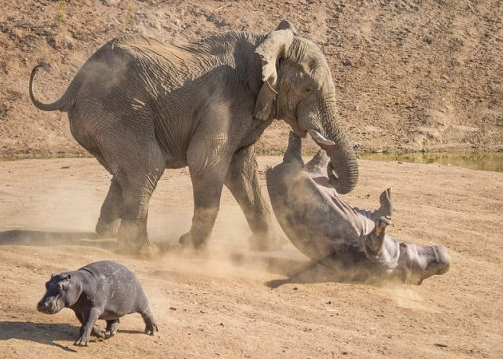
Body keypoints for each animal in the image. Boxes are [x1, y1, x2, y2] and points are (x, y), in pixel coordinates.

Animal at [28, 20, 358, 253]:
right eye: (308, 89)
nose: (331, 170)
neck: (265, 43)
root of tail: (74, 84)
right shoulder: (226, 99)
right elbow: (206, 161)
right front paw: (191, 247)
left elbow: (242, 169)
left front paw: (271, 247)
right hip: (116, 110)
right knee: (148, 165)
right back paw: (142, 252)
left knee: (127, 172)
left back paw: (104, 234)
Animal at [268, 133, 452, 286]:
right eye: (430, 268)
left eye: (426, 271)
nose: (445, 260)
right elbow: (383, 211)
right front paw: (387, 200)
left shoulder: (376, 255)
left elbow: (374, 241)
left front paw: (382, 224)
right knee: (312, 158)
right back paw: (352, 148)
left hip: (298, 168)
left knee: (307, 156)